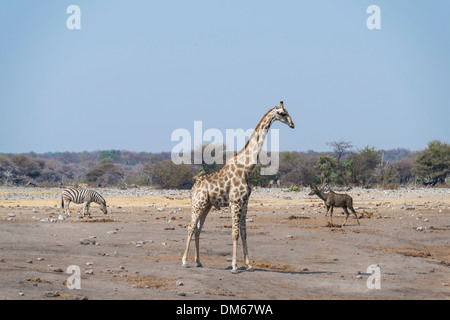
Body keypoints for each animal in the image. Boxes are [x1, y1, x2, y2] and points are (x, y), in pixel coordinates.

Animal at [183, 101, 296, 274]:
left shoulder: (245, 202)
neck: (246, 167)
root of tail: (193, 188)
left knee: (197, 229)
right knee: (190, 226)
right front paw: (235, 266)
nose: (292, 124)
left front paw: (249, 265)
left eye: (288, 112)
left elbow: (244, 232)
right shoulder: (235, 202)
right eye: (283, 113)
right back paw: (184, 261)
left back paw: (198, 261)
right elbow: (235, 233)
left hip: (206, 205)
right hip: (198, 203)